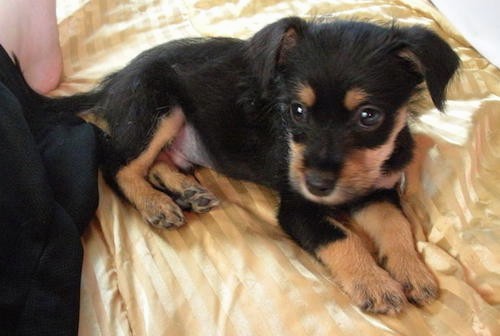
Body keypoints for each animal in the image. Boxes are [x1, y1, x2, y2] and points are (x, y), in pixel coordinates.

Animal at [0, 16, 460, 316]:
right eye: (296, 111)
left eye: (369, 116)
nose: (317, 184)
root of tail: (114, 80)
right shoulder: (296, 207)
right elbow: (341, 238)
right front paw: (374, 283)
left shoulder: (377, 190)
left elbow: (397, 226)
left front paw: (413, 272)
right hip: (158, 107)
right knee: (117, 163)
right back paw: (155, 204)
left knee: (159, 162)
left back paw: (186, 191)